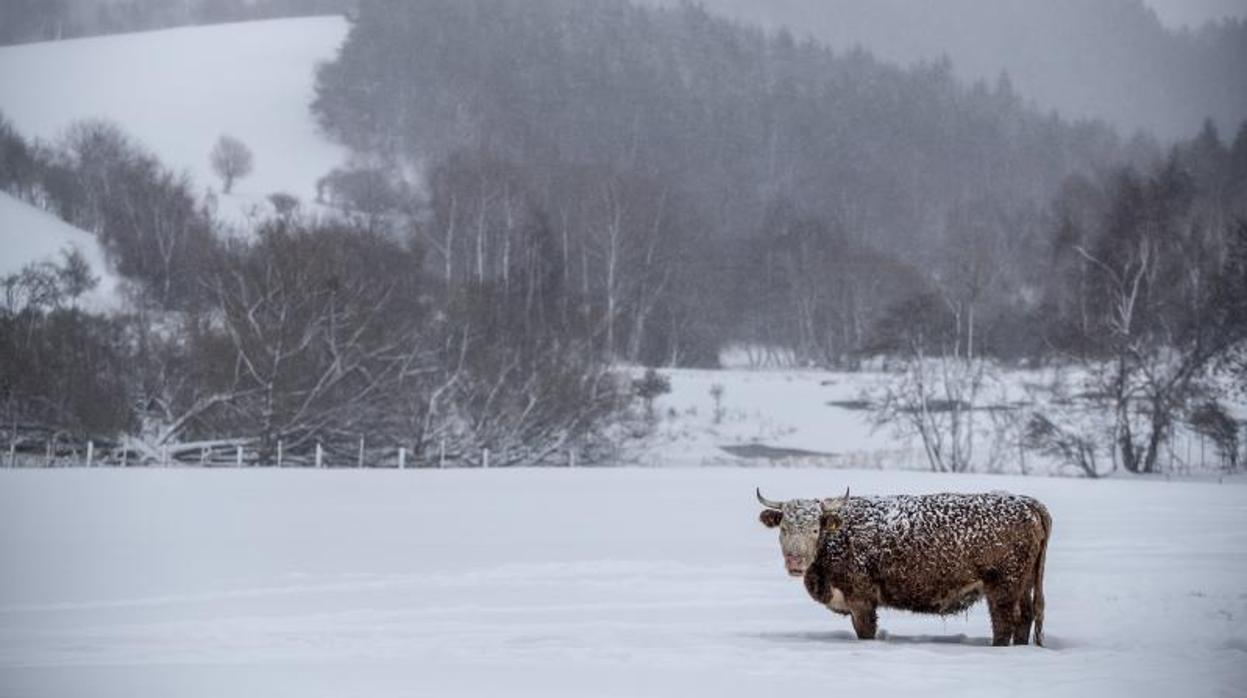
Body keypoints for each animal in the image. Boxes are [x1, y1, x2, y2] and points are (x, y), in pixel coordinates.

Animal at [758, 488, 1052, 648]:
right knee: (1025, 617)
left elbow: (866, 632)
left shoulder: (861, 600)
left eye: (815, 529)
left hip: (1002, 587)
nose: (795, 560)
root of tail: (1027, 502)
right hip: (1023, 585)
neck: (839, 535)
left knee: (1005, 623)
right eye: (783, 528)